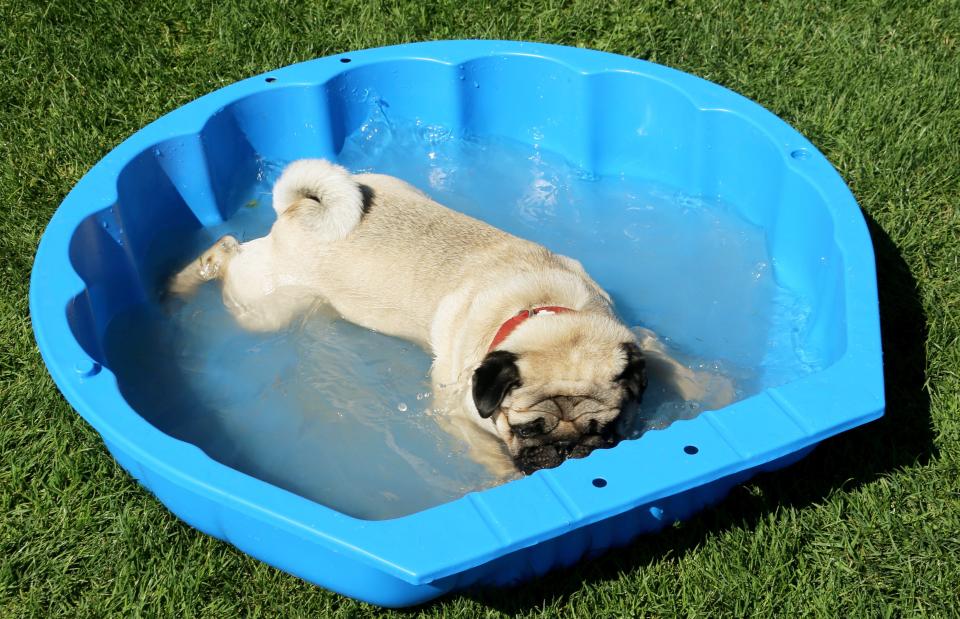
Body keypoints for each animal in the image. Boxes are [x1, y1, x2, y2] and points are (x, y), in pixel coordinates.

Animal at [171, 159, 728, 474]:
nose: (572, 450)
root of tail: (300, 211)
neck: (542, 305)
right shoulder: (458, 413)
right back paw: (180, 283)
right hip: (266, 306)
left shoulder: (632, 336)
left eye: (606, 428)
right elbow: (493, 457)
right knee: (225, 253)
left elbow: (666, 359)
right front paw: (509, 481)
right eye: (530, 430)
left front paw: (716, 390)